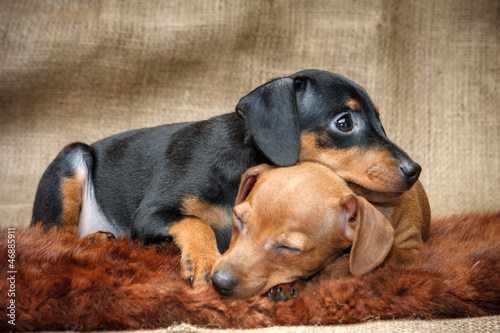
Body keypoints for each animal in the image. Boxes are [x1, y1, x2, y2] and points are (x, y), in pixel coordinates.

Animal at [31, 69, 422, 286]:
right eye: (344, 122)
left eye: (379, 120)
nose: (415, 170)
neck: (242, 162)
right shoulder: (150, 214)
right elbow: (197, 222)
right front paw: (204, 260)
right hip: (72, 160)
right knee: (54, 235)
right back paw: (97, 240)